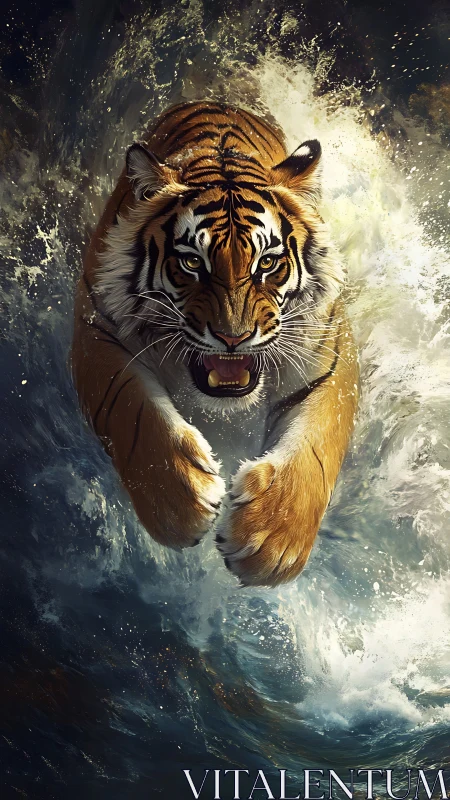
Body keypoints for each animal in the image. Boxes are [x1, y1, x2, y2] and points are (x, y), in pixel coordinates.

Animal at [71, 101, 359, 586]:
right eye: (192, 263)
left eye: (267, 263)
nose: (233, 338)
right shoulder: (97, 327)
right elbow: (133, 411)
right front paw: (179, 506)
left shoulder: (330, 356)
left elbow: (317, 445)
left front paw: (270, 543)